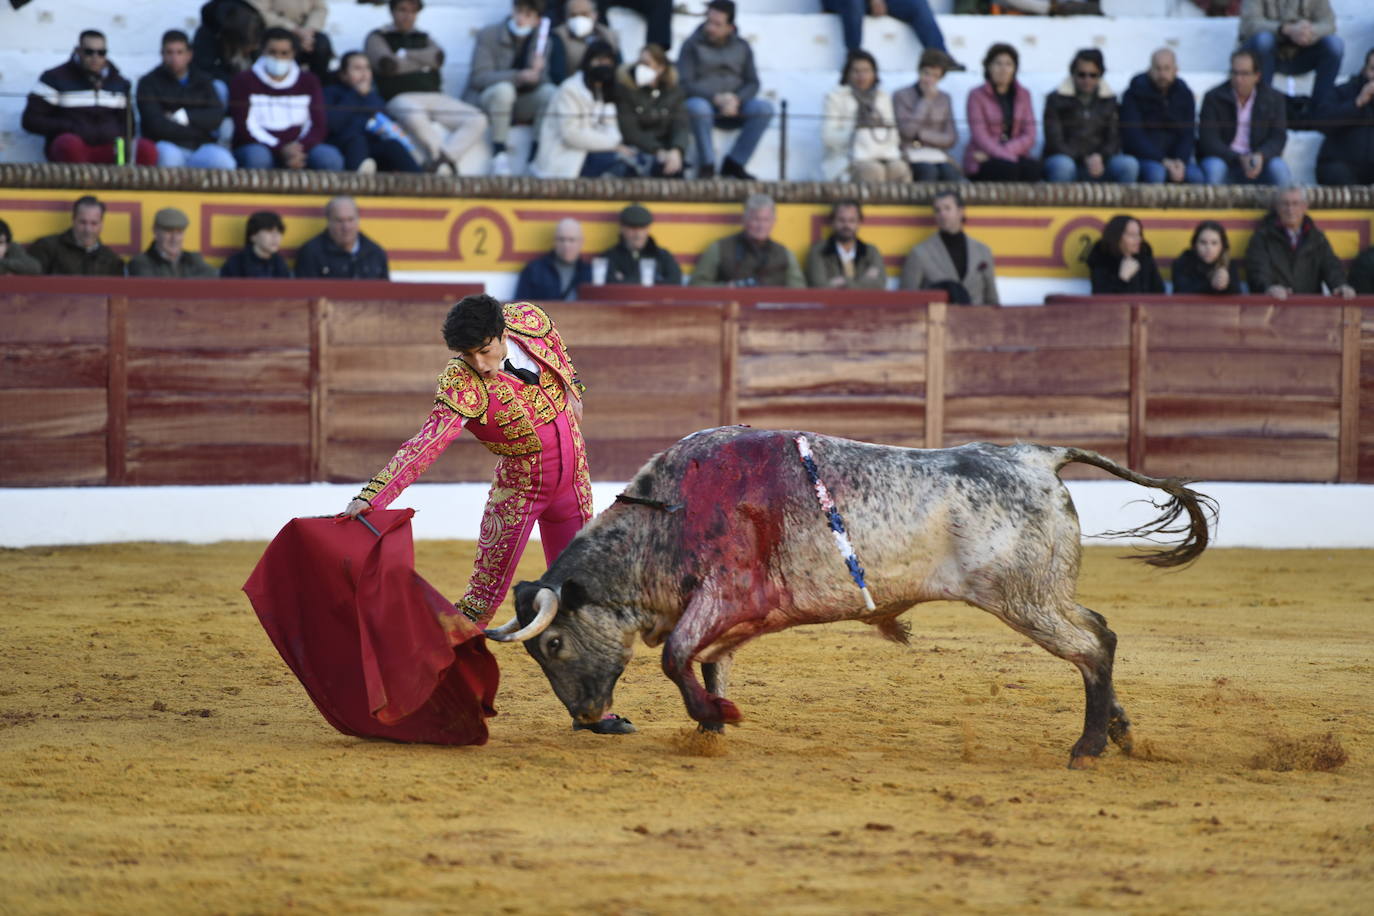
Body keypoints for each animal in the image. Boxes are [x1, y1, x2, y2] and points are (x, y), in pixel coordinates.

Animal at [489, 428, 1220, 769]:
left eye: (553, 642)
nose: (587, 716)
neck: (666, 518)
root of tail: (1035, 454)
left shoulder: (721, 595)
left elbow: (676, 657)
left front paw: (714, 715)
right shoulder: (732, 616)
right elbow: (707, 662)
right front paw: (712, 724)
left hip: (1022, 598)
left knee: (1091, 646)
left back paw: (1087, 747)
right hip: (1042, 593)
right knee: (1099, 635)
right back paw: (1119, 731)